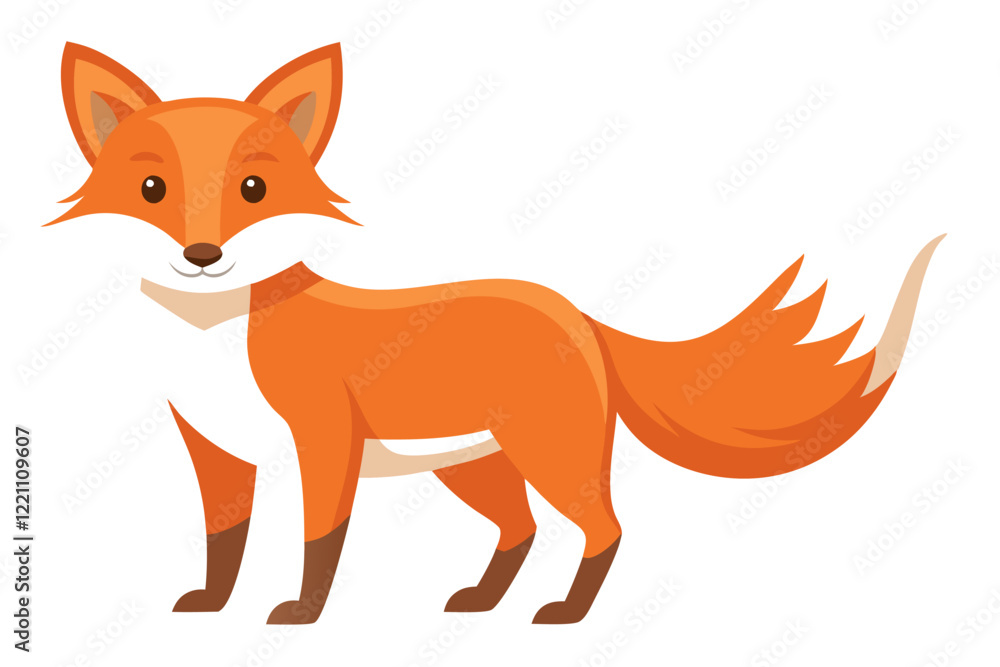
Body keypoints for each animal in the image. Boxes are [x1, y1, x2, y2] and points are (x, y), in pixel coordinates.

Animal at [48, 42, 943, 625]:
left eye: (253, 190)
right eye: (153, 188)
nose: (202, 255)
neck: (215, 339)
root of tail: (576, 311)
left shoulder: (322, 440)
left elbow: (318, 541)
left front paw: (300, 613)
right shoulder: (215, 452)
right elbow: (222, 541)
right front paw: (211, 604)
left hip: (548, 453)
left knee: (604, 528)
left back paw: (566, 614)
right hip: (475, 465)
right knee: (522, 529)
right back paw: (484, 600)